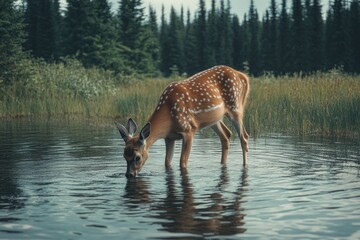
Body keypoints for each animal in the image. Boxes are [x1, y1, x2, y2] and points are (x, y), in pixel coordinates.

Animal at [116, 65, 250, 178]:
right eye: (124, 155)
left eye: (137, 157)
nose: (129, 175)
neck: (169, 114)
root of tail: (242, 76)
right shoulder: (169, 137)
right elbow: (167, 162)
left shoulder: (188, 130)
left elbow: (182, 162)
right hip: (214, 119)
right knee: (226, 135)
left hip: (235, 108)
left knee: (244, 137)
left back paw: (245, 166)